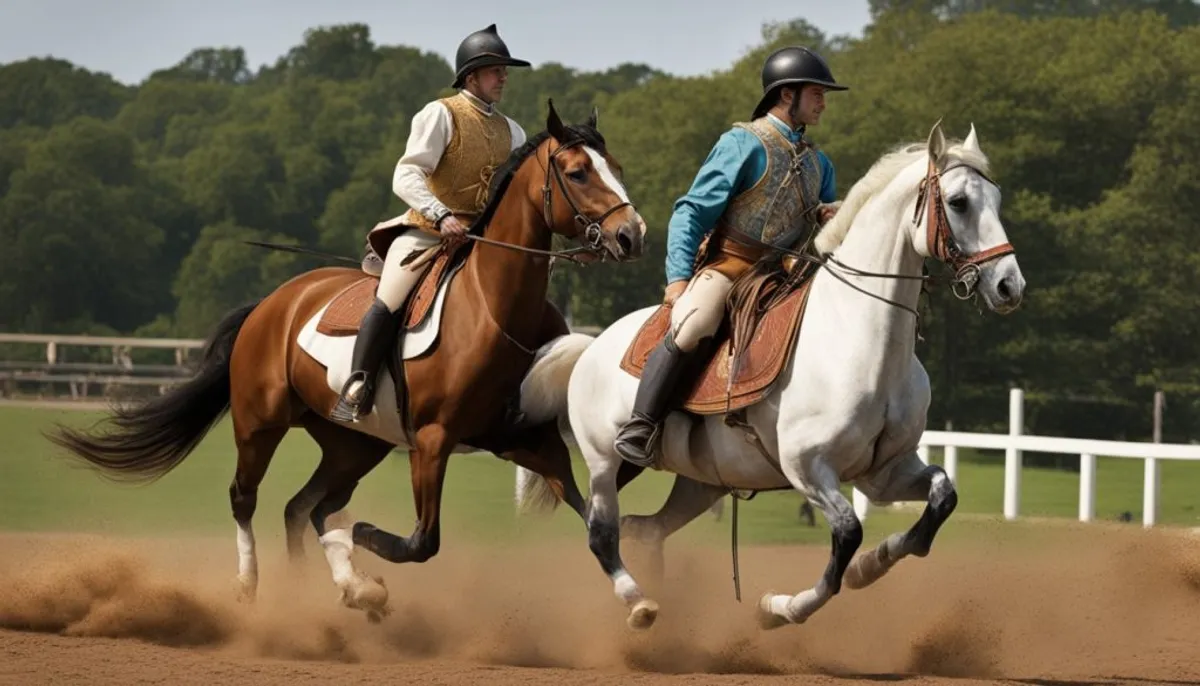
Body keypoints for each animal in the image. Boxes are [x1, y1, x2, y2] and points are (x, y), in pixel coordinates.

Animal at [44, 101, 648, 623]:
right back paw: (258, 586)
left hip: (355, 444)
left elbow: (597, 526)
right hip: (260, 424)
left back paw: (331, 591)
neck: (494, 308)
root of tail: (273, 303)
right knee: (249, 499)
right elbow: (418, 542)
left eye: (615, 168)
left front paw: (637, 600)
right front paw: (354, 547)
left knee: (302, 507)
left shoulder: (530, 440)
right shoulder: (432, 442)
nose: (631, 235)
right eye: (577, 173)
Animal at [516, 120, 1022, 628]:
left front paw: (871, 566)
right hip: (606, 462)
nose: (1009, 286)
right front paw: (779, 609)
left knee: (645, 529)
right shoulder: (807, 468)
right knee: (602, 532)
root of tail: (591, 347)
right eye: (958, 202)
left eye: (996, 199)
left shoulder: (883, 472)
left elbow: (940, 499)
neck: (861, 339)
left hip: (701, 482)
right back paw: (639, 602)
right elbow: (847, 535)